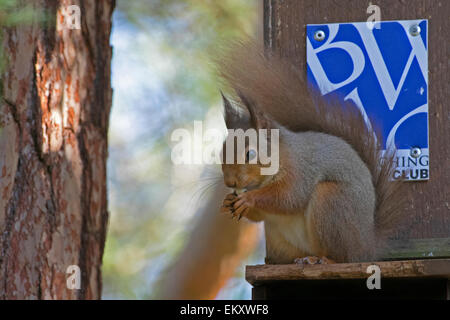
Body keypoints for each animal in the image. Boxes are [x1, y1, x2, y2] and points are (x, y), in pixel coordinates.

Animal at [218, 40, 408, 264]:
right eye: (221, 153)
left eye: (250, 154)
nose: (230, 183)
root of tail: (367, 246)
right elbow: (261, 215)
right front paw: (228, 201)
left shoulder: (300, 169)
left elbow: (289, 196)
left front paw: (249, 199)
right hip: (279, 239)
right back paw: (303, 259)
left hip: (331, 203)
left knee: (343, 256)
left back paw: (324, 260)